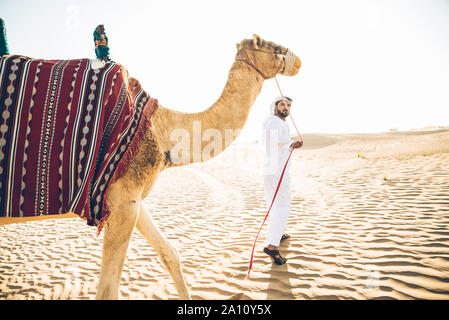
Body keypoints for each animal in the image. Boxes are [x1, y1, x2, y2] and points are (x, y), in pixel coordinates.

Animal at [1, 26, 300, 298]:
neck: (161, 128)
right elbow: (108, 290)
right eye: (274, 46)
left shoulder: (130, 200)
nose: (298, 60)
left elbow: (171, 254)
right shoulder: (122, 202)